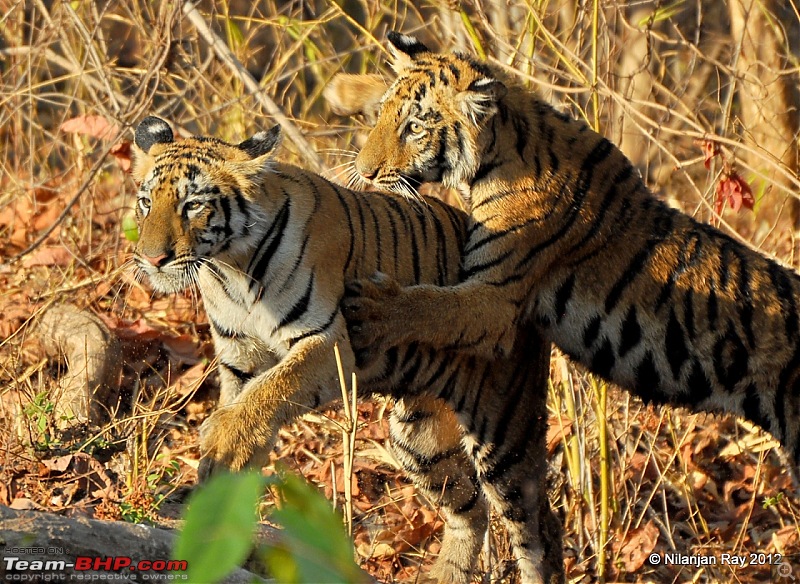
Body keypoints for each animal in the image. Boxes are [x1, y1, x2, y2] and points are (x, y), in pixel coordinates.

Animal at [131, 115, 564, 584]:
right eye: (145, 202)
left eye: (192, 205)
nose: (152, 259)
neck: (229, 270)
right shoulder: (240, 359)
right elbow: (247, 401)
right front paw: (222, 477)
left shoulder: (328, 343)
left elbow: (270, 392)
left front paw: (222, 444)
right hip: (418, 440)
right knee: (470, 509)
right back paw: (444, 575)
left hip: (504, 438)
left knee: (539, 530)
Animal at [330, 28, 800, 520]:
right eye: (384, 118)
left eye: (415, 128)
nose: (363, 172)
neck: (500, 147)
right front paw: (346, 90)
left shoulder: (495, 300)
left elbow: (432, 305)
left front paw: (377, 309)